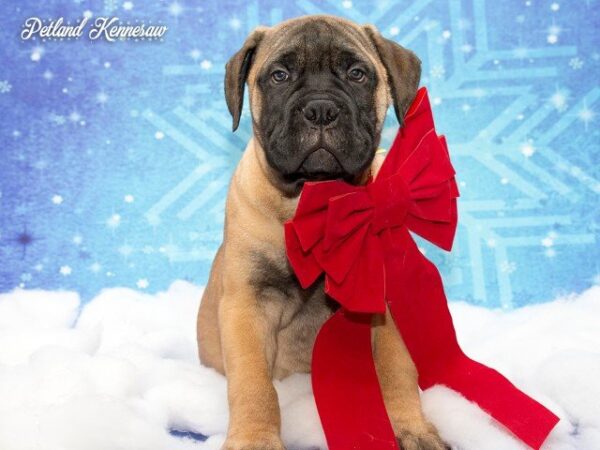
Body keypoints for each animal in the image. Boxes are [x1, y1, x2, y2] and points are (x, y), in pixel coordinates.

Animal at [197, 15, 447, 450]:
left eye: (357, 74)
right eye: (279, 76)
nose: (320, 109)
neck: (316, 199)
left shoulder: (385, 303)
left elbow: (397, 371)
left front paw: (410, 428)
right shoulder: (247, 303)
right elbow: (254, 384)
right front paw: (255, 438)